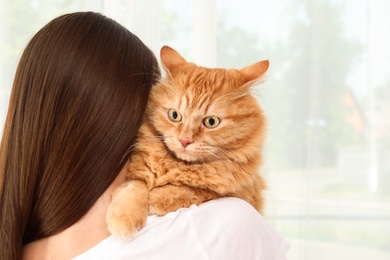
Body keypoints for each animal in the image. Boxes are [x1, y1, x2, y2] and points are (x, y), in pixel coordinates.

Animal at [107, 45, 272, 238]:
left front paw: (157, 197)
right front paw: (124, 217)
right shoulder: (135, 173)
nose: (184, 140)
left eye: (211, 122)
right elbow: (136, 187)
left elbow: (196, 191)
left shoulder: (243, 193)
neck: (178, 166)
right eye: (174, 115)